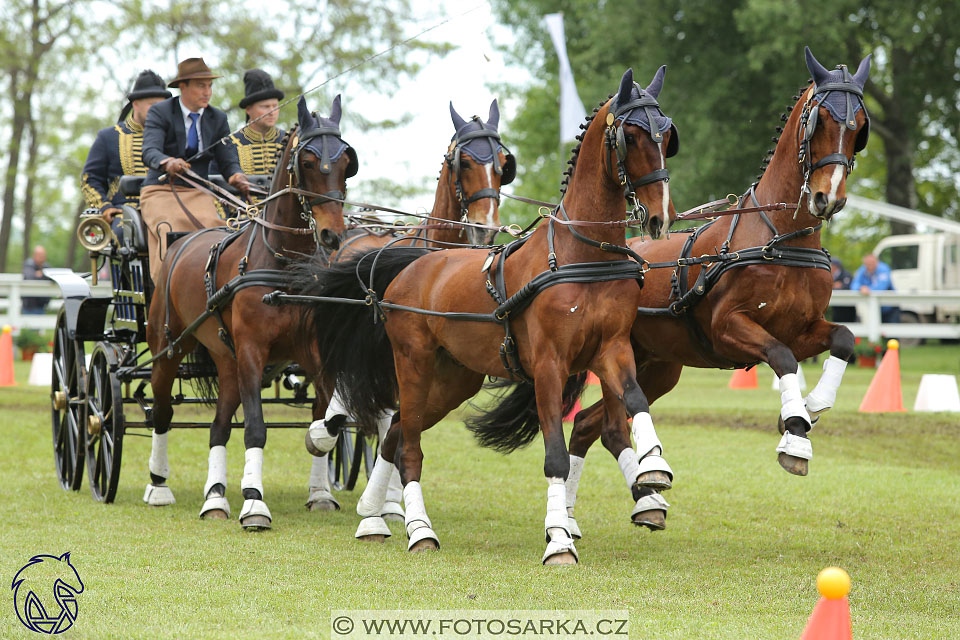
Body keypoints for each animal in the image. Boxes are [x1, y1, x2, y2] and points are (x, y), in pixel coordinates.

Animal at [146, 92, 360, 528]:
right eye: (307, 162)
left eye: (347, 161)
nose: (332, 235)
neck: (285, 266)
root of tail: (179, 239)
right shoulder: (252, 351)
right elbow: (256, 428)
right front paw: (254, 502)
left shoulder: (314, 352)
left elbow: (331, 416)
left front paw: (320, 483)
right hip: (170, 349)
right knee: (162, 411)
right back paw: (159, 485)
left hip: (227, 362)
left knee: (218, 426)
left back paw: (214, 496)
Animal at [296, 66, 680, 564]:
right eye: (630, 136)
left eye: (667, 134)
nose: (659, 217)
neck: (581, 254)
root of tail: (414, 263)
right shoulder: (549, 365)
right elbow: (555, 454)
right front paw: (558, 538)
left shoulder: (612, 349)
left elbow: (634, 399)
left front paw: (653, 467)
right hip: (414, 364)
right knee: (407, 443)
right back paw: (418, 529)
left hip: (454, 379)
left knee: (396, 432)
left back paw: (373, 518)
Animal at [568, 46, 872, 536]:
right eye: (820, 119)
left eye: (860, 126)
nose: (829, 198)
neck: (780, 238)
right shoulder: (730, 327)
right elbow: (782, 358)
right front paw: (795, 432)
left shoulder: (802, 328)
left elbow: (843, 338)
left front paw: (812, 407)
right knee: (607, 427)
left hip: (657, 367)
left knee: (586, 425)